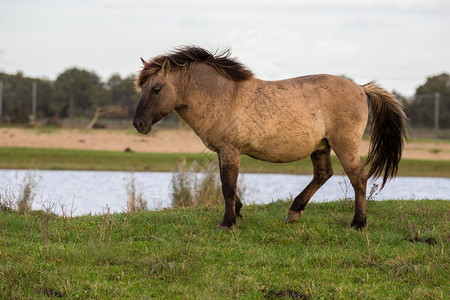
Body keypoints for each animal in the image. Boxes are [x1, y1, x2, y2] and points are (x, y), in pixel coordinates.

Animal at [133, 46, 408, 230]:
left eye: (156, 89)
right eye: (143, 88)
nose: (138, 124)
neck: (223, 95)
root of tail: (361, 88)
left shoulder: (230, 150)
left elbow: (227, 186)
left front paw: (227, 223)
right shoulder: (225, 152)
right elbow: (229, 185)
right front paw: (238, 212)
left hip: (344, 145)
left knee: (358, 178)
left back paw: (358, 223)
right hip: (321, 146)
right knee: (323, 174)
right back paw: (294, 211)